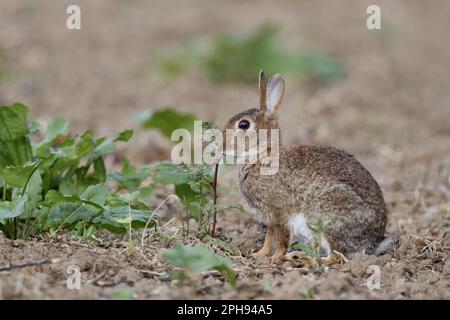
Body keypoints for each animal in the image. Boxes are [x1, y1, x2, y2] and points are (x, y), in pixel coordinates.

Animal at [224, 71, 390, 264]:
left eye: (243, 124)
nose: (221, 145)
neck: (263, 155)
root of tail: (373, 242)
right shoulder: (270, 219)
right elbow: (268, 238)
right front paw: (258, 255)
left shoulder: (280, 213)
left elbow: (281, 239)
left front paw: (275, 259)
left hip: (327, 218)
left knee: (336, 256)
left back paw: (301, 257)